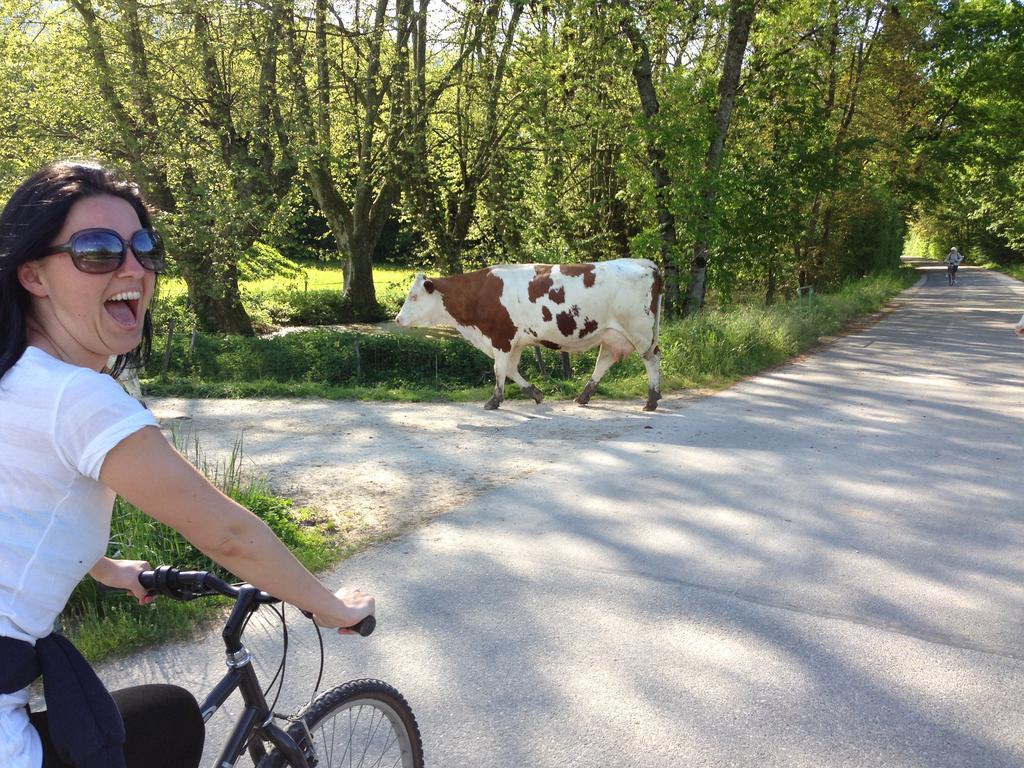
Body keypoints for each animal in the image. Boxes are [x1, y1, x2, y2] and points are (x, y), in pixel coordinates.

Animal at [391, 259, 663, 411]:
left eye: (413, 296)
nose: (397, 319)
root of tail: (645, 263)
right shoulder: (515, 341)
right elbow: (511, 370)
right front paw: (535, 393)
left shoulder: (501, 338)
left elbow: (499, 370)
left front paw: (494, 401)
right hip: (611, 334)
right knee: (604, 361)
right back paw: (583, 396)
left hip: (639, 330)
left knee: (651, 358)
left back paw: (651, 400)